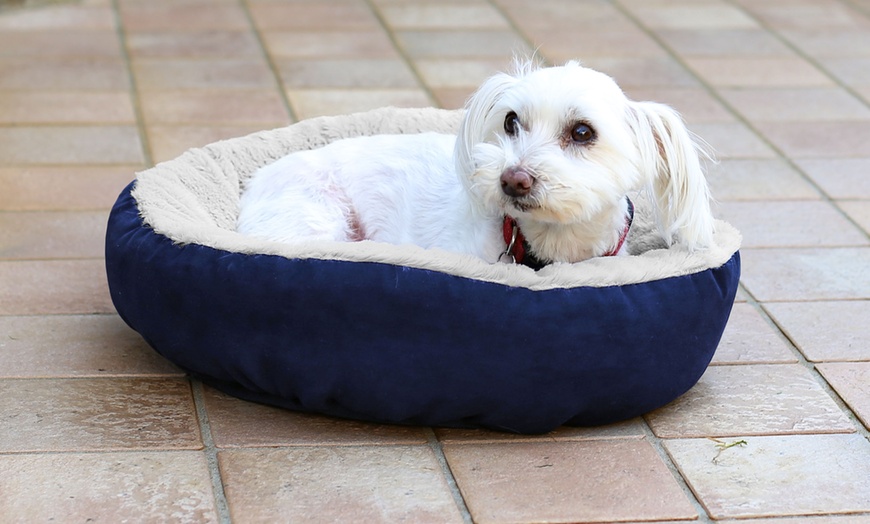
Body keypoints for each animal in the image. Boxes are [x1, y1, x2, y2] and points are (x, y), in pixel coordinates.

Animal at [238, 60, 716, 266]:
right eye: (510, 121)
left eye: (582, 132)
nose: (513, 179)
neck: (547, 248)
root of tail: (254, 184)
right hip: (316, 219)